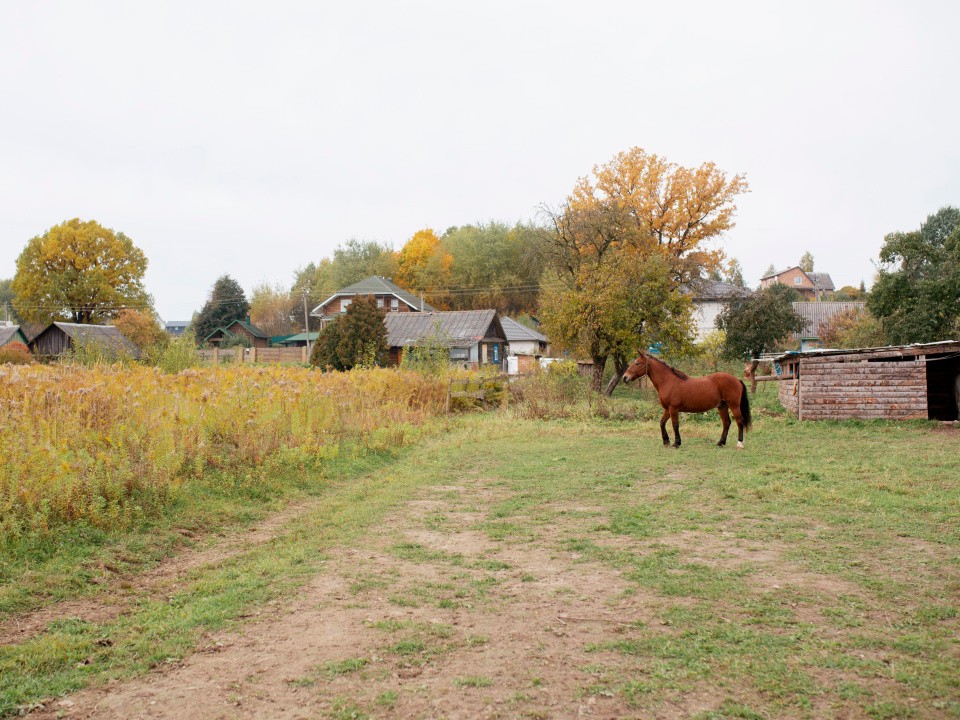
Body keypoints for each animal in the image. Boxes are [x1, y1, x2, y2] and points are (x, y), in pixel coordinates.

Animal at [624, 352, 752, 448]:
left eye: (637, 363)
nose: (625, 377)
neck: (668, 382)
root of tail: (737, 380)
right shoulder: (667, 409)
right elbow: (662, 423)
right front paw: (666, 441)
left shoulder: (673, 409)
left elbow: (675, 425)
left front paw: (676, 443)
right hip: (722, 406)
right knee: (726, 423)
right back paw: (721, 443)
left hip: (734, 405)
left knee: (739, 422)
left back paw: (739, 443)